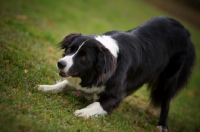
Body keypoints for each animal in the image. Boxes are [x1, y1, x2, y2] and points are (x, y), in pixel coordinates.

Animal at [38, 16, 195, 131]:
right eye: (70, 49)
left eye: (83, 57)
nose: (60, 63)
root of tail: (186, 31)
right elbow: (64, 84)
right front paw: (46, 87)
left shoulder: (116, 95)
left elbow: (98, 104)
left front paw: (83, 112)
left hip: (170, 78)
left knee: (167, 100)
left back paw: (162, 125)